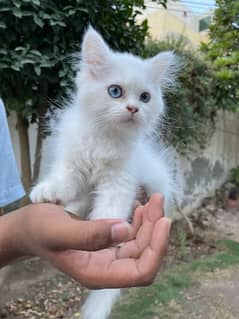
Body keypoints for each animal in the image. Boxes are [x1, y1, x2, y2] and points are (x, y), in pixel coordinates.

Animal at [30, 26, 177, 319]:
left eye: (145, 97)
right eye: (115, 91)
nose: (133, 109)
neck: (105, 138)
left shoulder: (119, 179)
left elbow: (110, 208)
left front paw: (108, 230)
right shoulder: (72, 159)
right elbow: (64, 179)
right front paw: (48, 191)